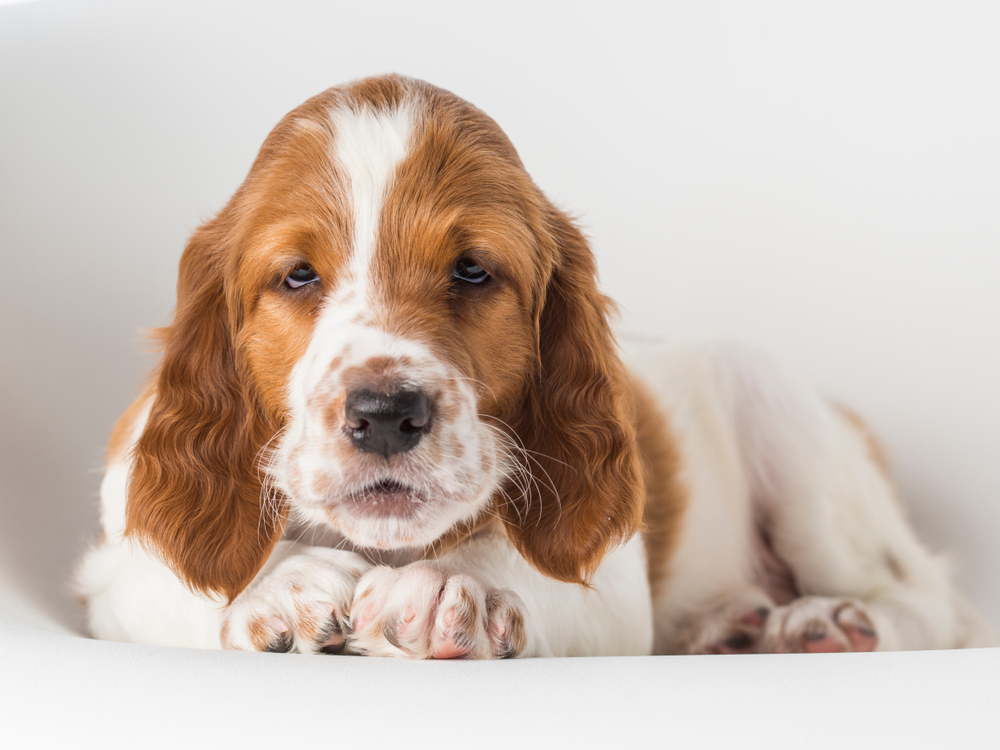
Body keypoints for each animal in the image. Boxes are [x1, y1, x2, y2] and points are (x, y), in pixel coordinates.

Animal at [72, 73, 992, 656]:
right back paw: (725, 627)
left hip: (789, 429)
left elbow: (519, 559)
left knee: (929, 602)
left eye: (474, 271)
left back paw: (823, 624)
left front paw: (453, 587)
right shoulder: (108, 575)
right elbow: (171, 580)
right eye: (297, 276)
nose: (385, 415)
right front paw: (282, 587)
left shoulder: (612, 589)